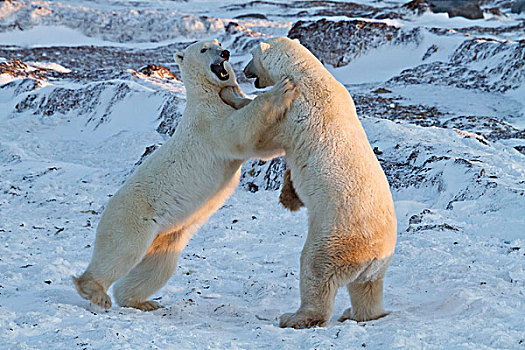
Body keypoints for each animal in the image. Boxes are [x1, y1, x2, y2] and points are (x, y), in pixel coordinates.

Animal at [72, 39, 298, 310]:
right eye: (204, 49)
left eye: (218, 42)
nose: (225, 52)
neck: (206, 95)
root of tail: (108, 208)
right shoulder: (209, 123)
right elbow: (238, 130)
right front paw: (282, 89)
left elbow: (260, 146)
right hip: (132, 219)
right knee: (122, 251)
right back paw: (94, 290)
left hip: (167, 234)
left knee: (158, 265)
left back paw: (141, 301)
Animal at [232, 37, 392, 328]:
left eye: (251, 56)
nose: (246, 71)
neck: (308, 74)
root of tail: (374, 254)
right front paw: (288, 196)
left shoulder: (296, 110)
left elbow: (263, 138)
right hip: (375, 269)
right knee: (367, 290)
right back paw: (358, 313)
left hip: (333, 239)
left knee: (315, 272)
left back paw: (295, 317)